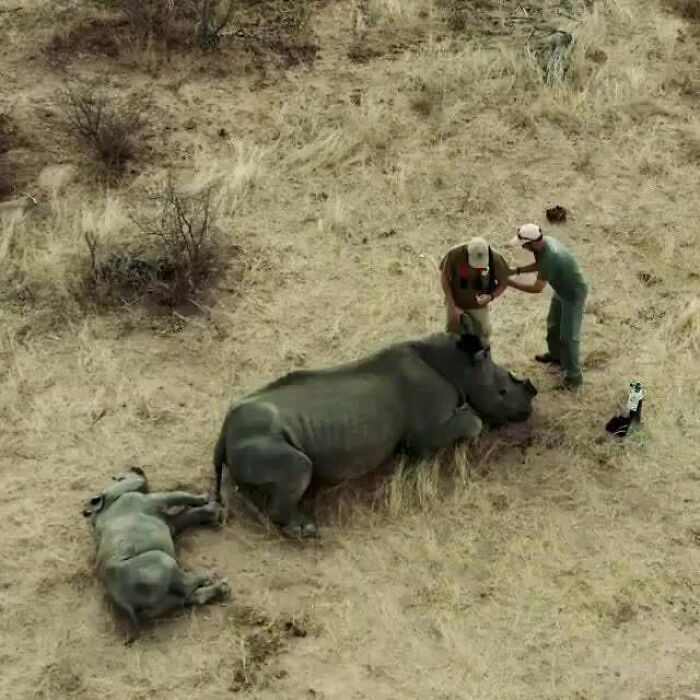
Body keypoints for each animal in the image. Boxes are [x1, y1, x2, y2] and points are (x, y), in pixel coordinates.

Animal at [213, 330, 537, 537]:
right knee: (300, 466)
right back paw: (306, 529)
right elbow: (471, 423)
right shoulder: (424, 432)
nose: (529, 407)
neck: (458, 366)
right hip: (258, 438)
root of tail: (223, 434)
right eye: (503, 392)